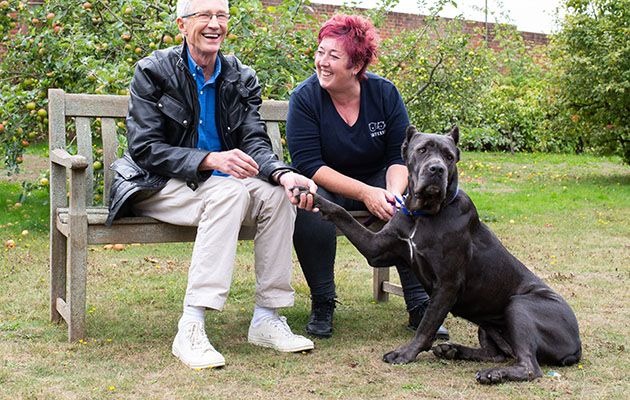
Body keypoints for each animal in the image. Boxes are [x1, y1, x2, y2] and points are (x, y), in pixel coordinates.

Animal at [296, 127, 584, 384]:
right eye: (422, 150)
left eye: (449, 156)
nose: (436, 170)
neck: (423, 214)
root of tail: (577, 346)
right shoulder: (376, 248)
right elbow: (341, 212)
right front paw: (307, 193)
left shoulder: (447, 284)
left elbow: (427, 324)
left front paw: (405, 353)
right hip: (489, 324)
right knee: (497, 353)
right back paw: (454, 351)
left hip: (519, 305)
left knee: (529, 367)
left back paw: (491, 375)